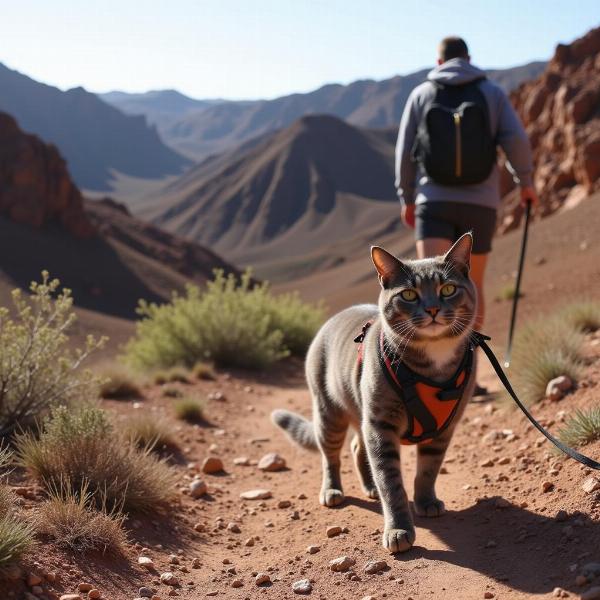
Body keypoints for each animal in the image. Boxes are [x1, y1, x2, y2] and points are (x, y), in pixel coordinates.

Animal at [274, 232, 478, 552]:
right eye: (409, 295)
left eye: (448, 289)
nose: (432, 309)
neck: (433, 361)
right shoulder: (381, 425)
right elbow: (391, 482)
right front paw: (398, 529)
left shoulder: (444, 428)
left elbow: (428, 469)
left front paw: (426, 501)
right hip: (330, 411)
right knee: (330, 454)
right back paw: (333, 490)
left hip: (360, 413)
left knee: (358, 448)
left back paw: (369, 485)